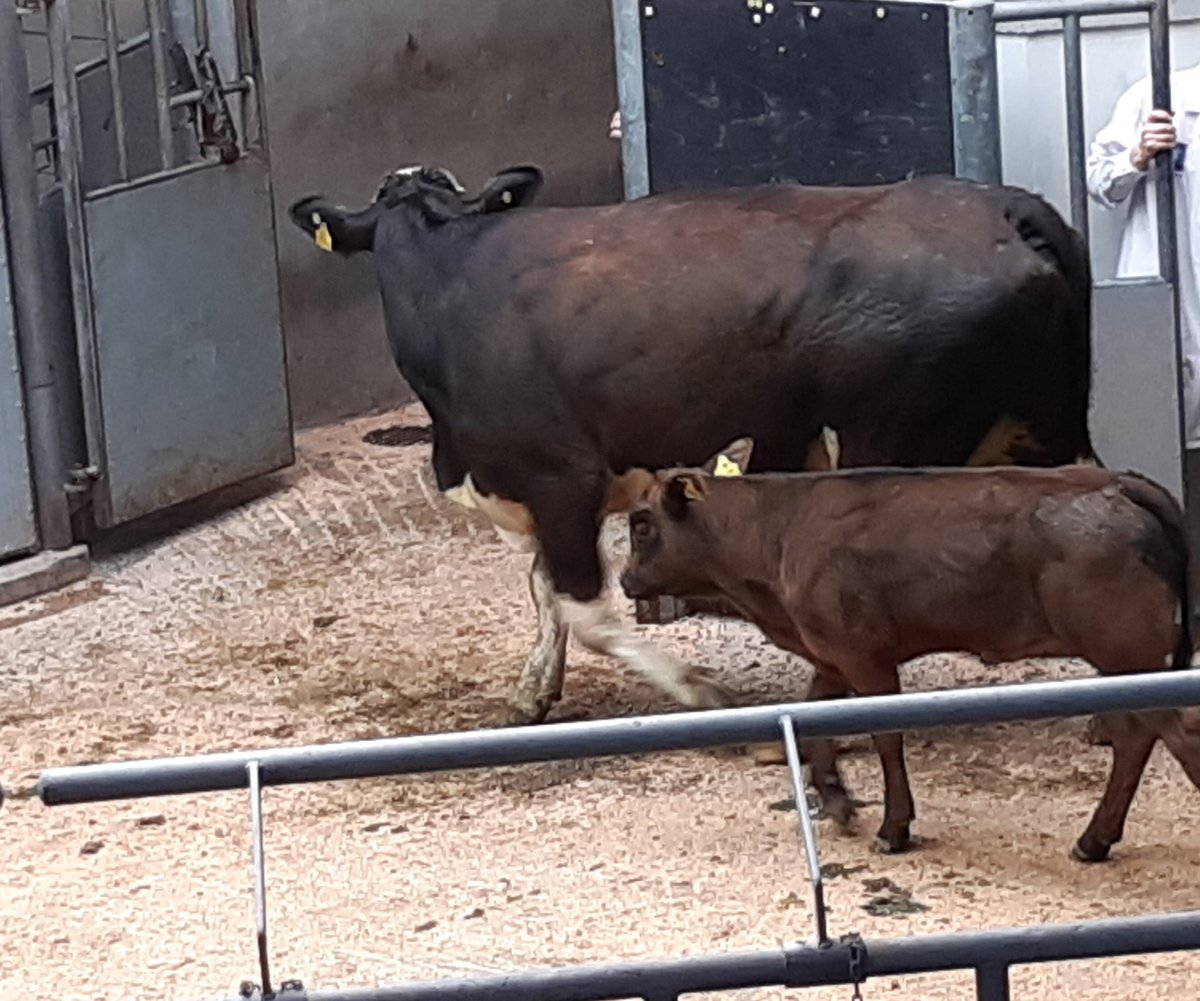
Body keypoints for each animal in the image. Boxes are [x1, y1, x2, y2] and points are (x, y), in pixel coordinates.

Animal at [287, 163, 1097, 726]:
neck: (449, 272)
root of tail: (1001, 204)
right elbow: (545, 590)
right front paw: (532, 690)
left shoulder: (560, 477)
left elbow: (585, 607)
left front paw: (700, 689)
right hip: (1049, 430)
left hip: (889, 444)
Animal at [618, 451, 1198, 861]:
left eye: (642, 522)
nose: (624, 580)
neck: (778, 530)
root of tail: (1113, 481)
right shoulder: (831, 655)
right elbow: (814, 719)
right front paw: (836, 799)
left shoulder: (865, 657)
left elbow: (885, 735)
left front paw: (893, 827)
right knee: (1137, 737)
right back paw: (1094, 840)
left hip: (1127, 652)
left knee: (1169, 734)